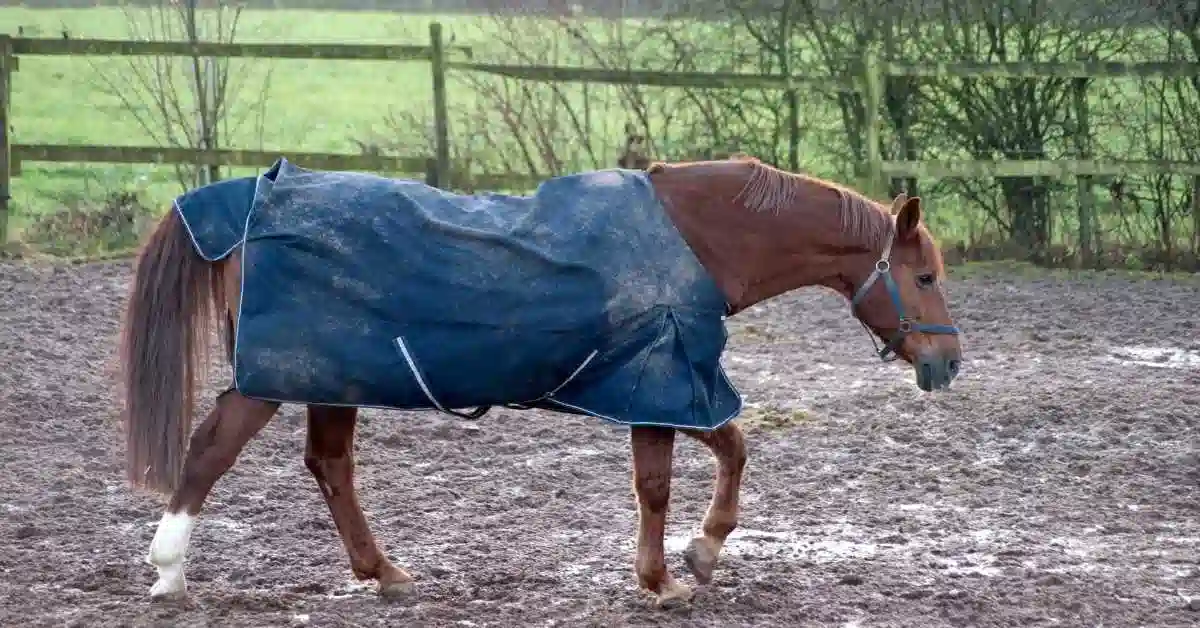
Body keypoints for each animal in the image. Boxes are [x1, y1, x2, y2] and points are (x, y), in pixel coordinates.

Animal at [118, 154, 962, 607]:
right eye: (922, 276)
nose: (947, 363)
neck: (701, 239)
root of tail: (254, 197)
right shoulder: (661, 380)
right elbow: (665, 481)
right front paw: (668, 576)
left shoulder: (671, 383)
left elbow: (730, 449)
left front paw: (700, 552)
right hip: (275, 378)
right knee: (210, 451)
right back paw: (167, 571)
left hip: (335, 380)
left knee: (329, 467)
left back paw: (384, 573)